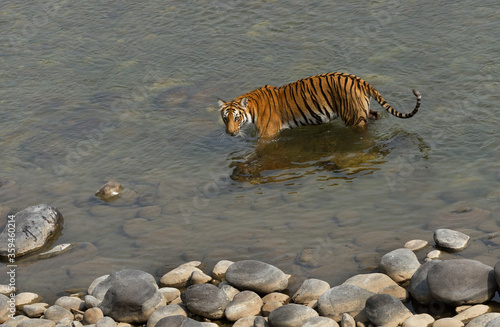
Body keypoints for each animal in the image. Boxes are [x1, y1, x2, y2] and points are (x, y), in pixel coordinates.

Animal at [217, 72, 420, 138]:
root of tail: (359, 80)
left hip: (354, 118)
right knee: (375, 115)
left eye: (236, 118)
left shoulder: (267, 136)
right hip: (363, 111)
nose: (230, 133)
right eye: (225, 119)